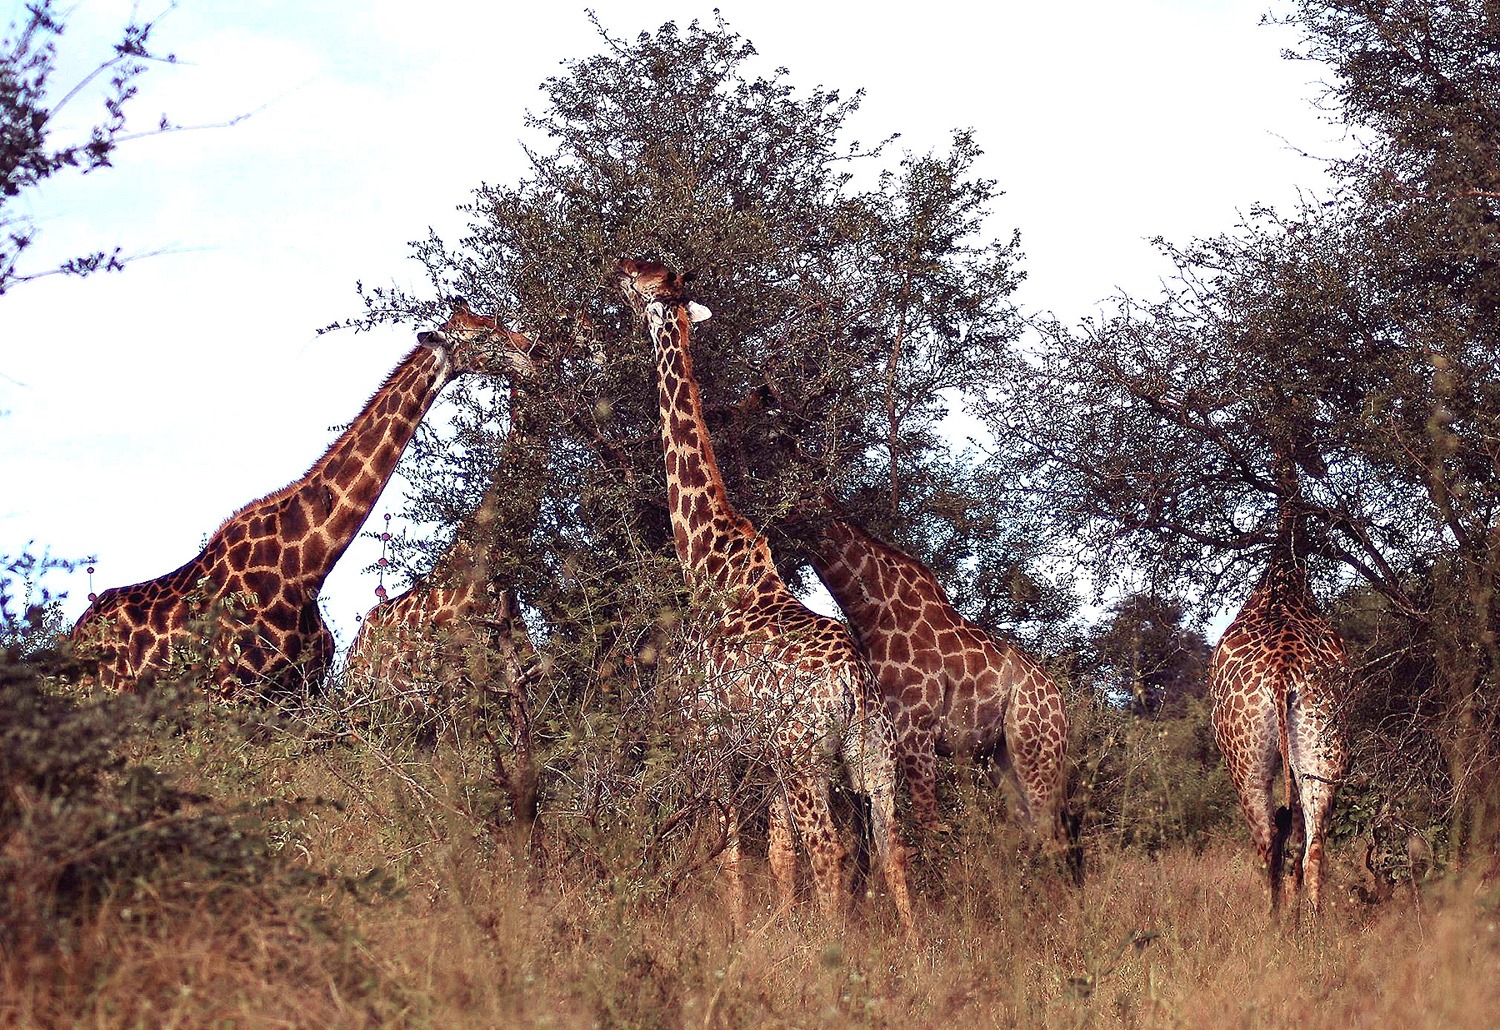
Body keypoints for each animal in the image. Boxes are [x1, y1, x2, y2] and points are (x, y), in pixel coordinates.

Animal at [71, 305, 521, 698]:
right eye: (483, 336)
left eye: (496, 322)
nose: (528, 352)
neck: (307, 567)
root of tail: (76, 633)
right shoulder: (233, 693)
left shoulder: (299, 694)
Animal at [617, 259, 914, 935]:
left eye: (647, 277)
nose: (618, 269)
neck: (705, 560)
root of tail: (856, 681)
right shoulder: (763, 756)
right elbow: (778, 855)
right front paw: (778, 931)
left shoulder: (710, 739)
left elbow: (729, 848)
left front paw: (739, 933)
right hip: (873, 761)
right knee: (892, 853)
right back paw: (917, 952)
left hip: (808, 758)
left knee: (830, 849)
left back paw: (837, 952)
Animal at [799, 502, 1070, 849]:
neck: (873, 615)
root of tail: (1061, 703)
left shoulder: (914, 728)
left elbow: (927, 824)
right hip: (1001, 757)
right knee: (1031, 828)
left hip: (1036, 750)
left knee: (1049, 833)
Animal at [1209, 464, 1350, 916]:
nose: (1318, 464)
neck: (1285, 573)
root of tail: (1282, 676)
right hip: (1321, 749)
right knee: (1312, 847)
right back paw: (1310, 923)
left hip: (1246, 761)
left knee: (1270, 842)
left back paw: (1274, 922)